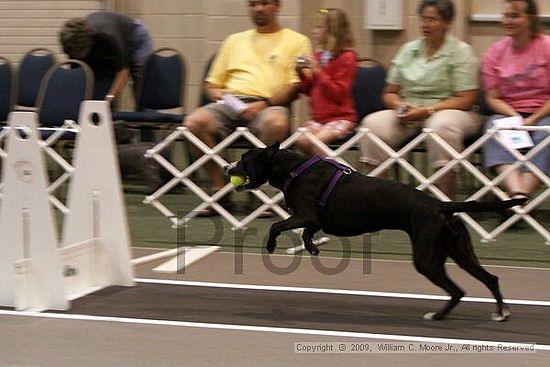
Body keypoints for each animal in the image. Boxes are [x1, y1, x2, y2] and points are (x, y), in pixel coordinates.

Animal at [229, 144, 532, 322]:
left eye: (244, 159)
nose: (227, 167)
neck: (292, 169)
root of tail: (441, 205)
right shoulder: (313, 220)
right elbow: (307, 233)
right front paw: (312, 248)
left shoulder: (304, 215)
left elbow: (277, 225)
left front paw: (271, 245)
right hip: (461, 251)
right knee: (489, 278)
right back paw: (501, 313)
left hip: (427, 258)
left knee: (457, 290)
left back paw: (437, 316)